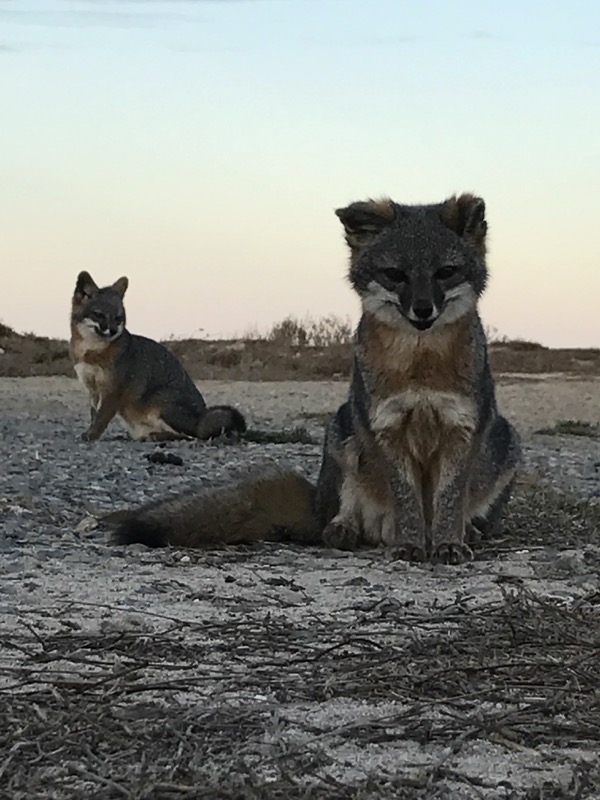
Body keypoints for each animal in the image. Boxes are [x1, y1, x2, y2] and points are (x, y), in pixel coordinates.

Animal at [69, 272, 246, 440]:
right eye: (99, 315)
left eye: (118, 318)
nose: (112, 331)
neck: (92, 352)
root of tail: (200, 419)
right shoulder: (92, 389)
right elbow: (94, 416)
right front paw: (90, 432)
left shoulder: (112, 390)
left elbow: (101, 418)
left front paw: (92, 436)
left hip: (159, 400)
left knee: (193, 436)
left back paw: (156, 437)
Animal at [109, 193, 520, 564]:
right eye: (395, 275)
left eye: (445, 272)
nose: (422, 309)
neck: (420, 367)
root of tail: (317, 503)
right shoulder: (385, 429)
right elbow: (407, 501)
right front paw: (410, 543)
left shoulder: (461, 427)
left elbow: (450, 498)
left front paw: (449, 542)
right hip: (343, 432)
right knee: (342, 517)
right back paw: (346, 528)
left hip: (506, 440)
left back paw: (467, 530)